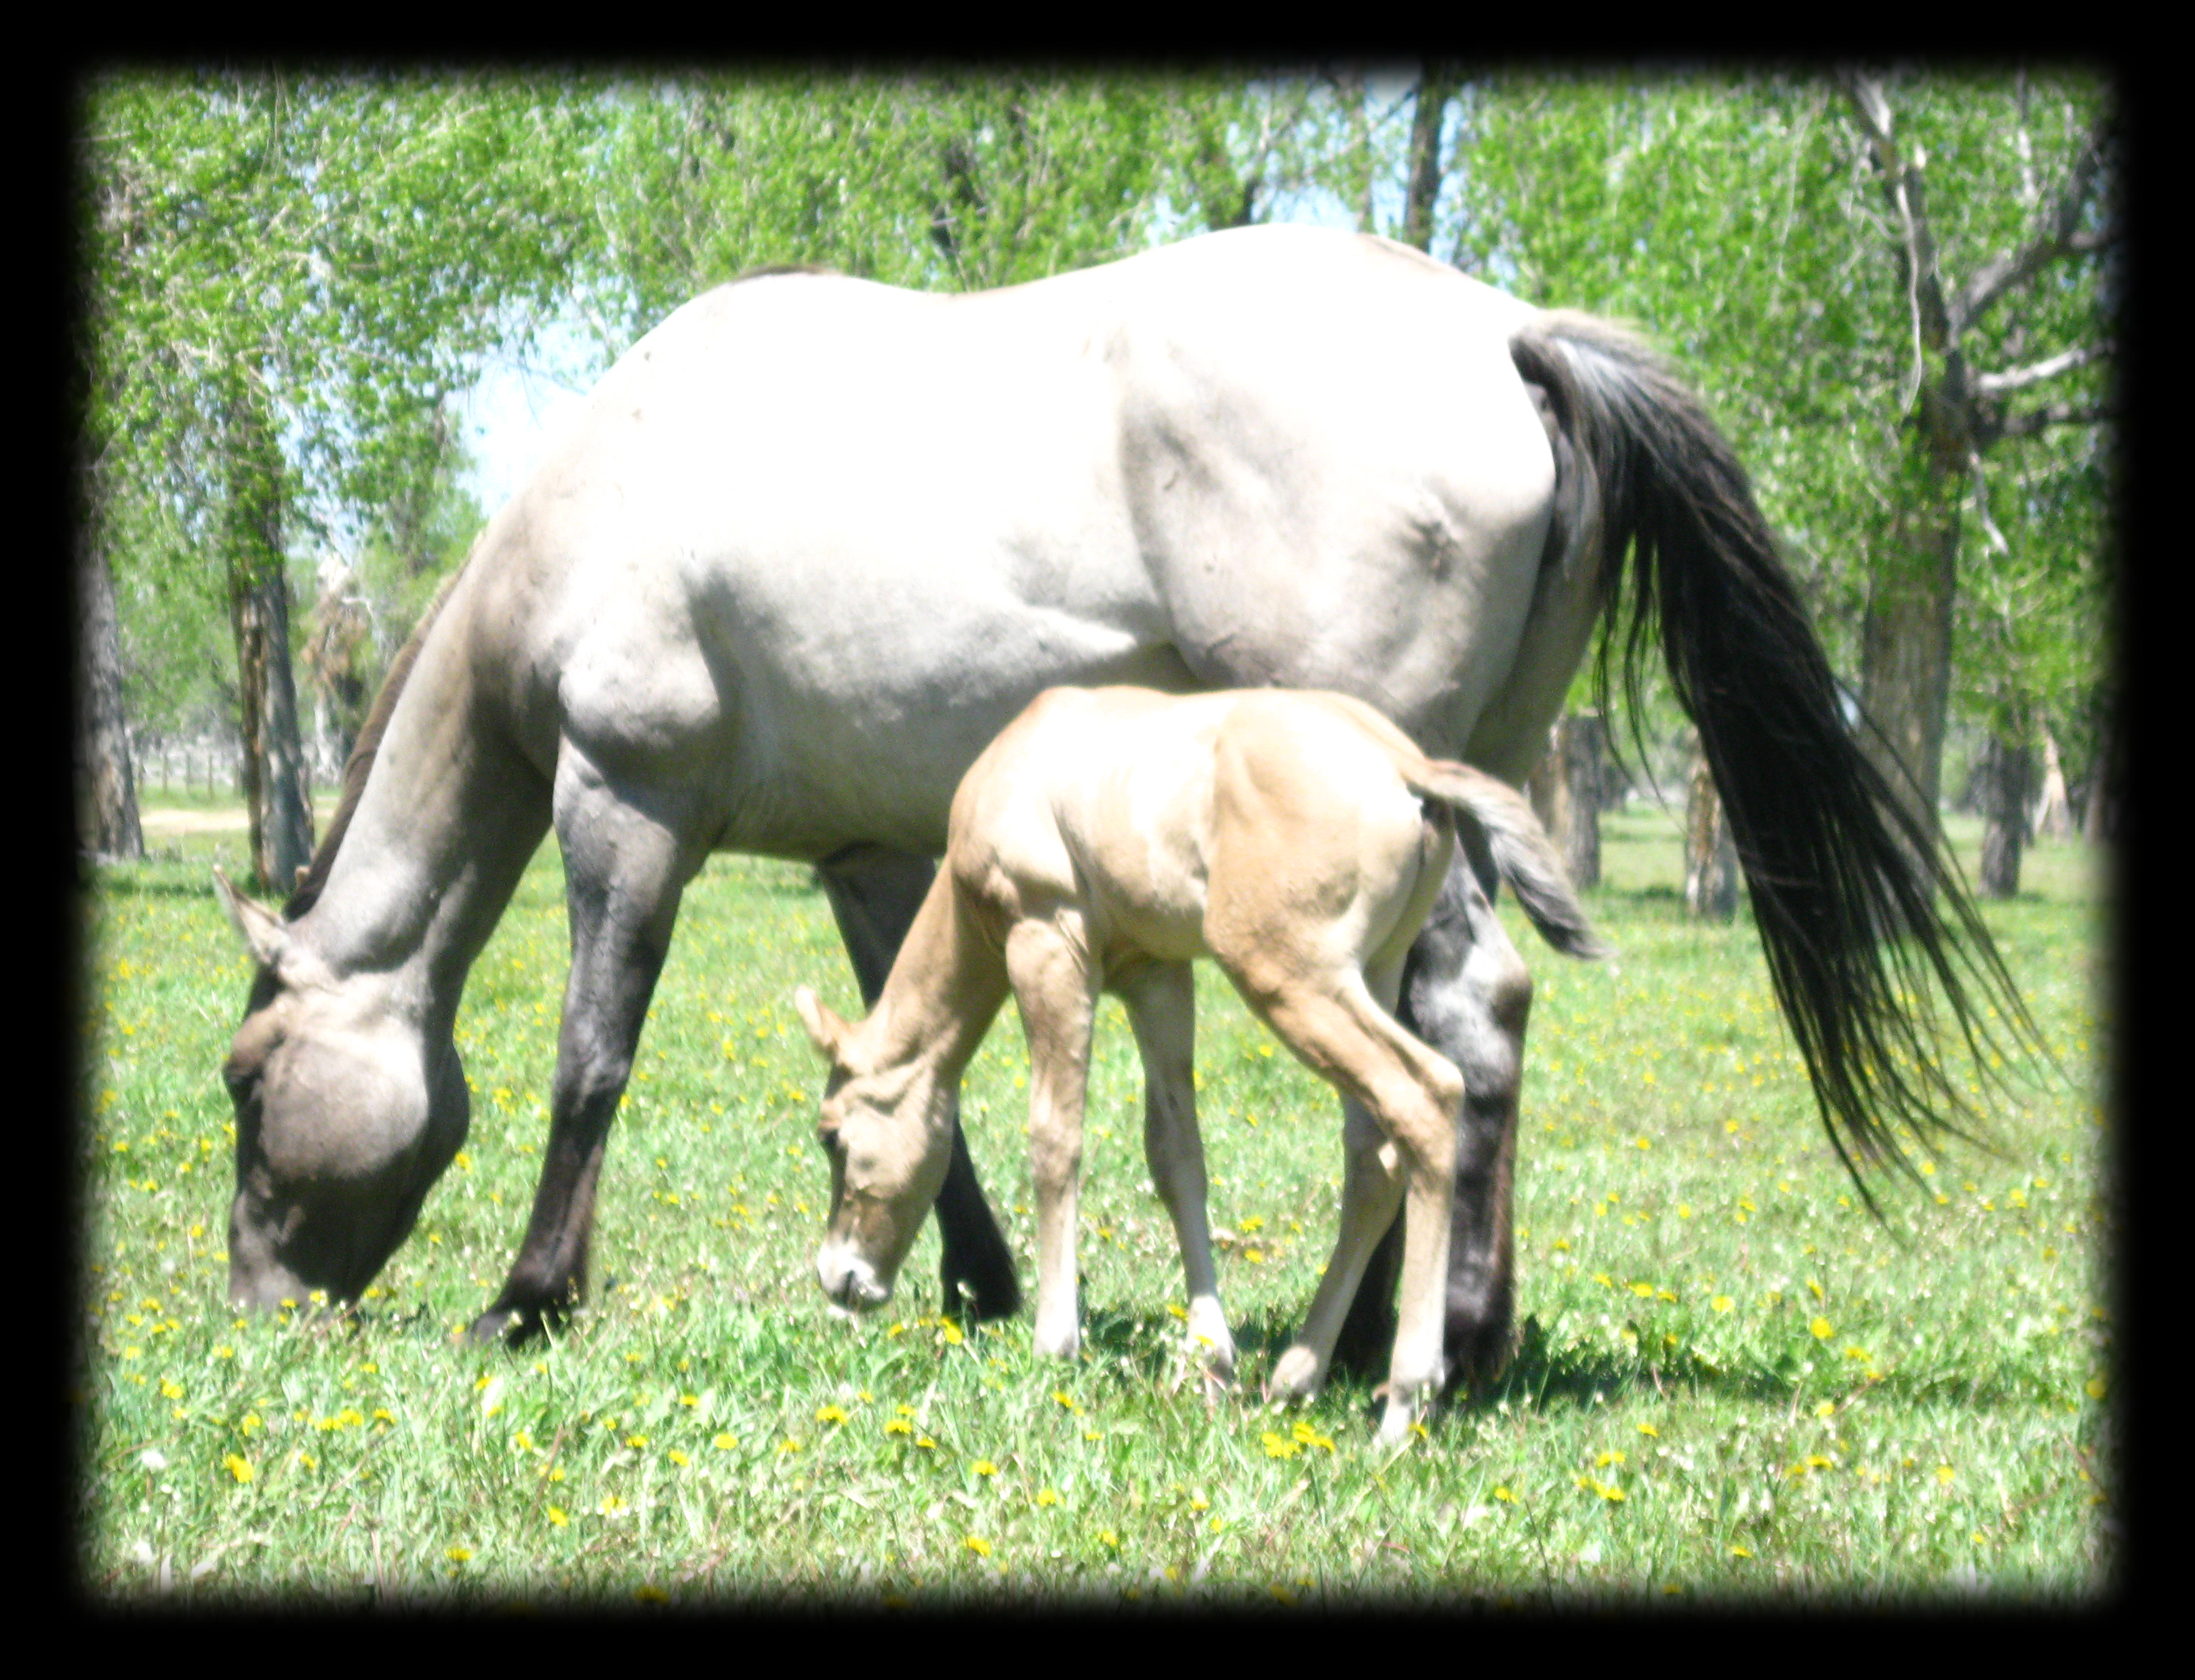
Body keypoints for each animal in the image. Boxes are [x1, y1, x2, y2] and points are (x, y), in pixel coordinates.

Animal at [791, 685, 1606, 1439]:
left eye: (831, 1135)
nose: (839, 1278)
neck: (1020, 761)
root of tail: (1405, 765)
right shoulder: (1155, 974)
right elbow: (1176, 1153)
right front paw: (1211, 1356)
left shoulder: (1047, 941)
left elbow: (1056, 1138)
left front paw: (1057, 1342)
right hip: (1371, 973)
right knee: (1372, 1157)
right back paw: (1298, 1372)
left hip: (1290, 978)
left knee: (1428, 1094)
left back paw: (1404, 1400)